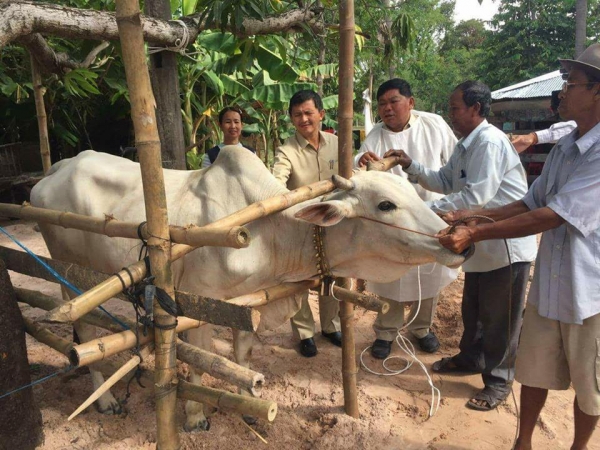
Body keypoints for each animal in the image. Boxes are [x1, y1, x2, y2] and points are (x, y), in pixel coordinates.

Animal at [30, 147, 465, 431]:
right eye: (386, 205)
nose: (456, 240)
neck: (268, 232)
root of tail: (55, 169)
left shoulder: (248, 304)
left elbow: (243, 356)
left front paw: (252, 405)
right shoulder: (195, 308)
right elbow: (199, 361)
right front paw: (194, 417)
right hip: (67, 273)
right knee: (84, 331)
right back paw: (104, 400)